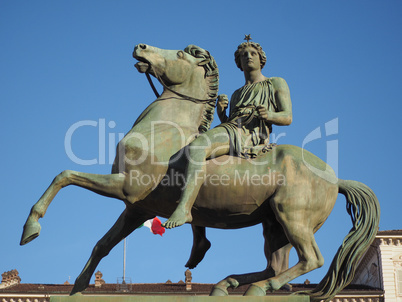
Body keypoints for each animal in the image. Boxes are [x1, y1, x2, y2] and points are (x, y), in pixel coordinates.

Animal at [20, 43, 378, 302]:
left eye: (179, 54)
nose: (140, 46)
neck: (163, 130)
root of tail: (335, 178)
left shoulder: (127, 188)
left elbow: (65, 175)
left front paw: (31, 228)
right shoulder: (138, 208)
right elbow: (102, 244)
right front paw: (77, 287)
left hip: (292, 216)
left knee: (311, 259)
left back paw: (256, 287)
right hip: (273, 226)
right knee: (276, 264)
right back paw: (230, 285)